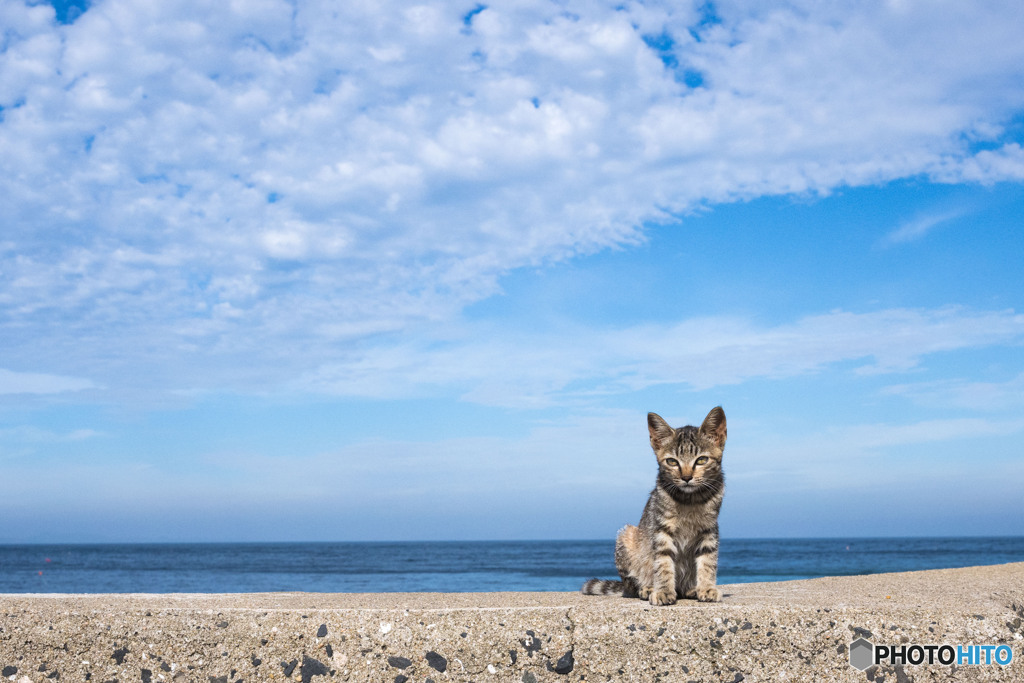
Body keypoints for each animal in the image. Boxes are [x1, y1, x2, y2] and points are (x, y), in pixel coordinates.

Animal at [585, 405, 729, 602]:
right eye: (672, 461)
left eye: (701, 460)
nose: (686, 477)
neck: (690, 500)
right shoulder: (662, 529)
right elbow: (663, 562)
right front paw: (663, 590)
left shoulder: (709, 530)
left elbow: (708, 561)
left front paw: (706, 588)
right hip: (626, 535)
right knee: (633, 585)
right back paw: (647, 588)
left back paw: (691, 589)